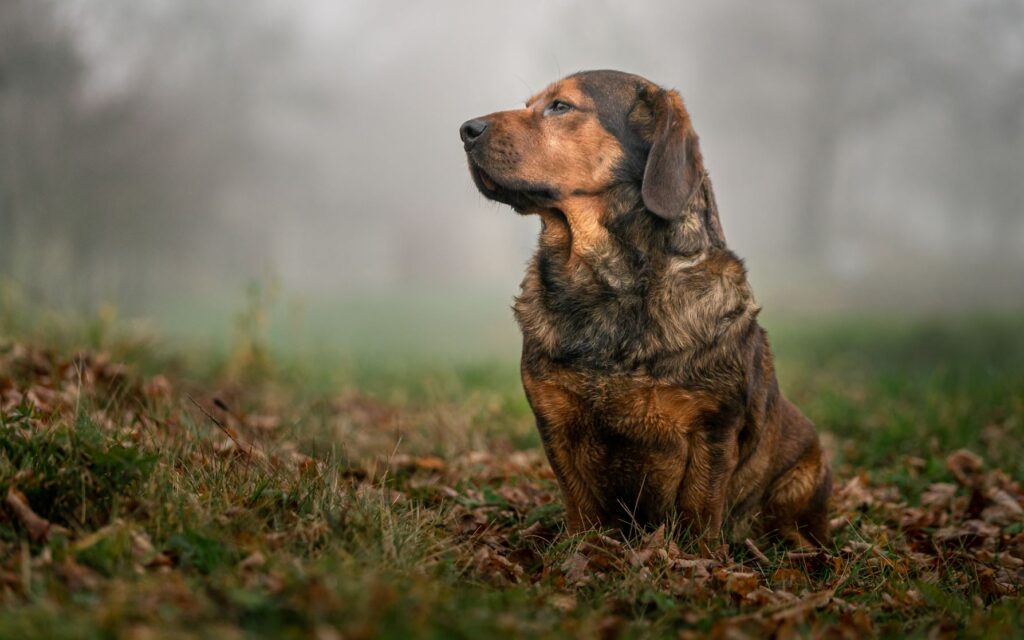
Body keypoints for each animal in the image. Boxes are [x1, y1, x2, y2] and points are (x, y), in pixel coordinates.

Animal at [460, 71, 827, 548]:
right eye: (530, 104)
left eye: (560, 106)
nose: (465, 130)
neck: (608, 285)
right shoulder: (557, 422)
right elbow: (582, 509)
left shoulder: (712, 430)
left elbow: (697, 514)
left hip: (805, 473)